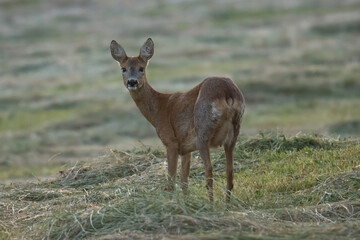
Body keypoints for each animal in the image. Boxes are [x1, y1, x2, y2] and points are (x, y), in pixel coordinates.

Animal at [109, 38, 245, 202]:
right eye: (123, 68)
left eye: (141, 68)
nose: (132, 82)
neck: (158, 109)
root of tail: (227, 92)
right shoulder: (186, 148)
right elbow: (184, 182)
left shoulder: (171, 142)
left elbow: (171, 182)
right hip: (233, 132)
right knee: (230, 172)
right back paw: (227, 205)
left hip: (203, 131)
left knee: (209, 170)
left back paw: (211, 204)